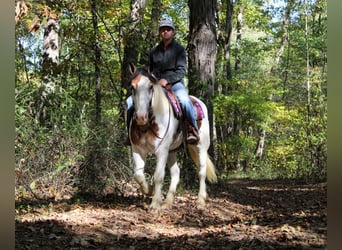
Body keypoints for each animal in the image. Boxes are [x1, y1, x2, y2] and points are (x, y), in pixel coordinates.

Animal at [127, 63, 218, 209]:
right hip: (172, 150)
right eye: (132, 86)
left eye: (151, 86)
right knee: (176, 173)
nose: (141, 117)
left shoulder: (162, 150)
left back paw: (200, 201)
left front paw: (155, 204)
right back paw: (168, 201)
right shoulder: (137, 149)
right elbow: (138, 175)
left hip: (201, 146)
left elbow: (158, 176)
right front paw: (150, 190)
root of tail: (199, 101)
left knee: (201, 171)